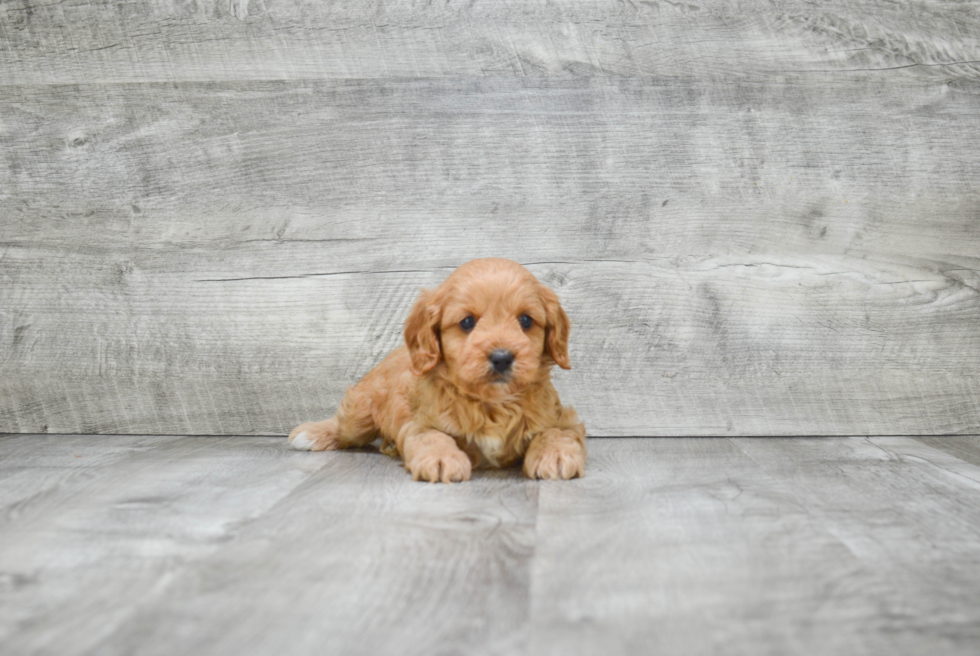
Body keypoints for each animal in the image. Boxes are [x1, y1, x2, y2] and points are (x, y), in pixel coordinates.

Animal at [288, 256, 584, 482]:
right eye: (467, 322)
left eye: (525, 320)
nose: (501, 357)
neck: (492, 404)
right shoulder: (418, 421)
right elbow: (431, 436)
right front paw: (442, 459)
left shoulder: (562, 417)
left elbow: (557, 432)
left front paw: (554, 454)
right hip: (362, 408)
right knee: (345, 425)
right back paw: (310, 434)